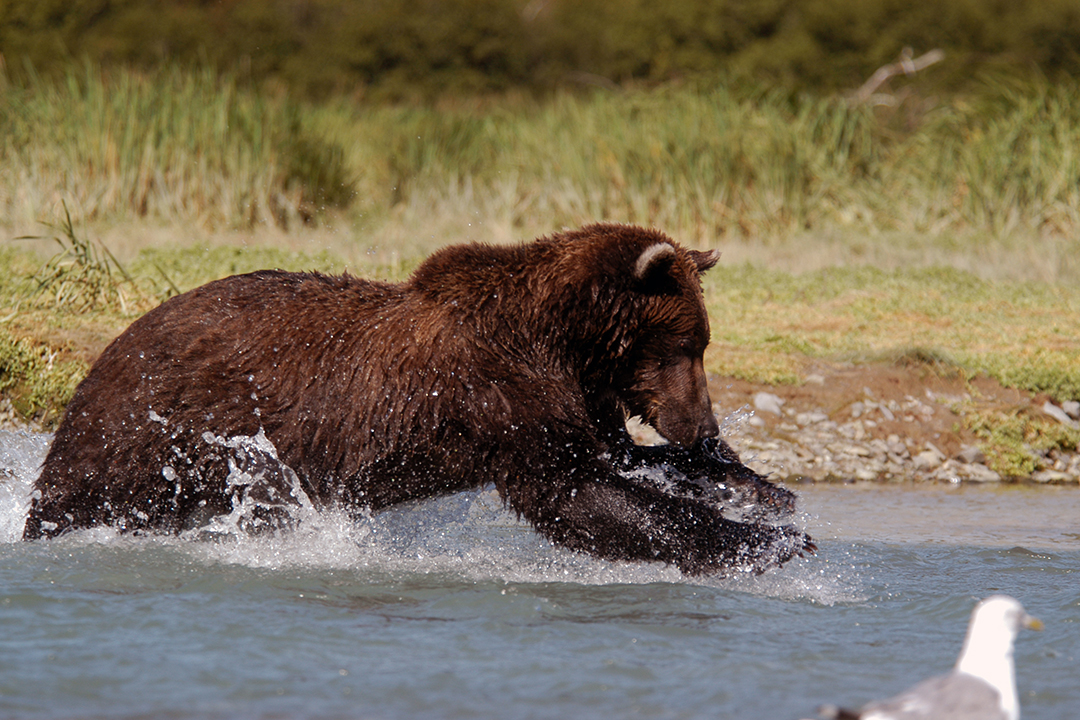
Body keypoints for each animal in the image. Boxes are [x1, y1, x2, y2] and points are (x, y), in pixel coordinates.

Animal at [23, 223, 812, 575]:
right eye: (687, 345)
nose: (699, 423)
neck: (564, 342)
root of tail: (116, 341)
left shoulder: (576, 398)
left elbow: (616, 459)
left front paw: (765, 493)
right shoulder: (500, 392)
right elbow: (576, 490)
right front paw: (767, 544)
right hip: (150, 426)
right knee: (88, 489)